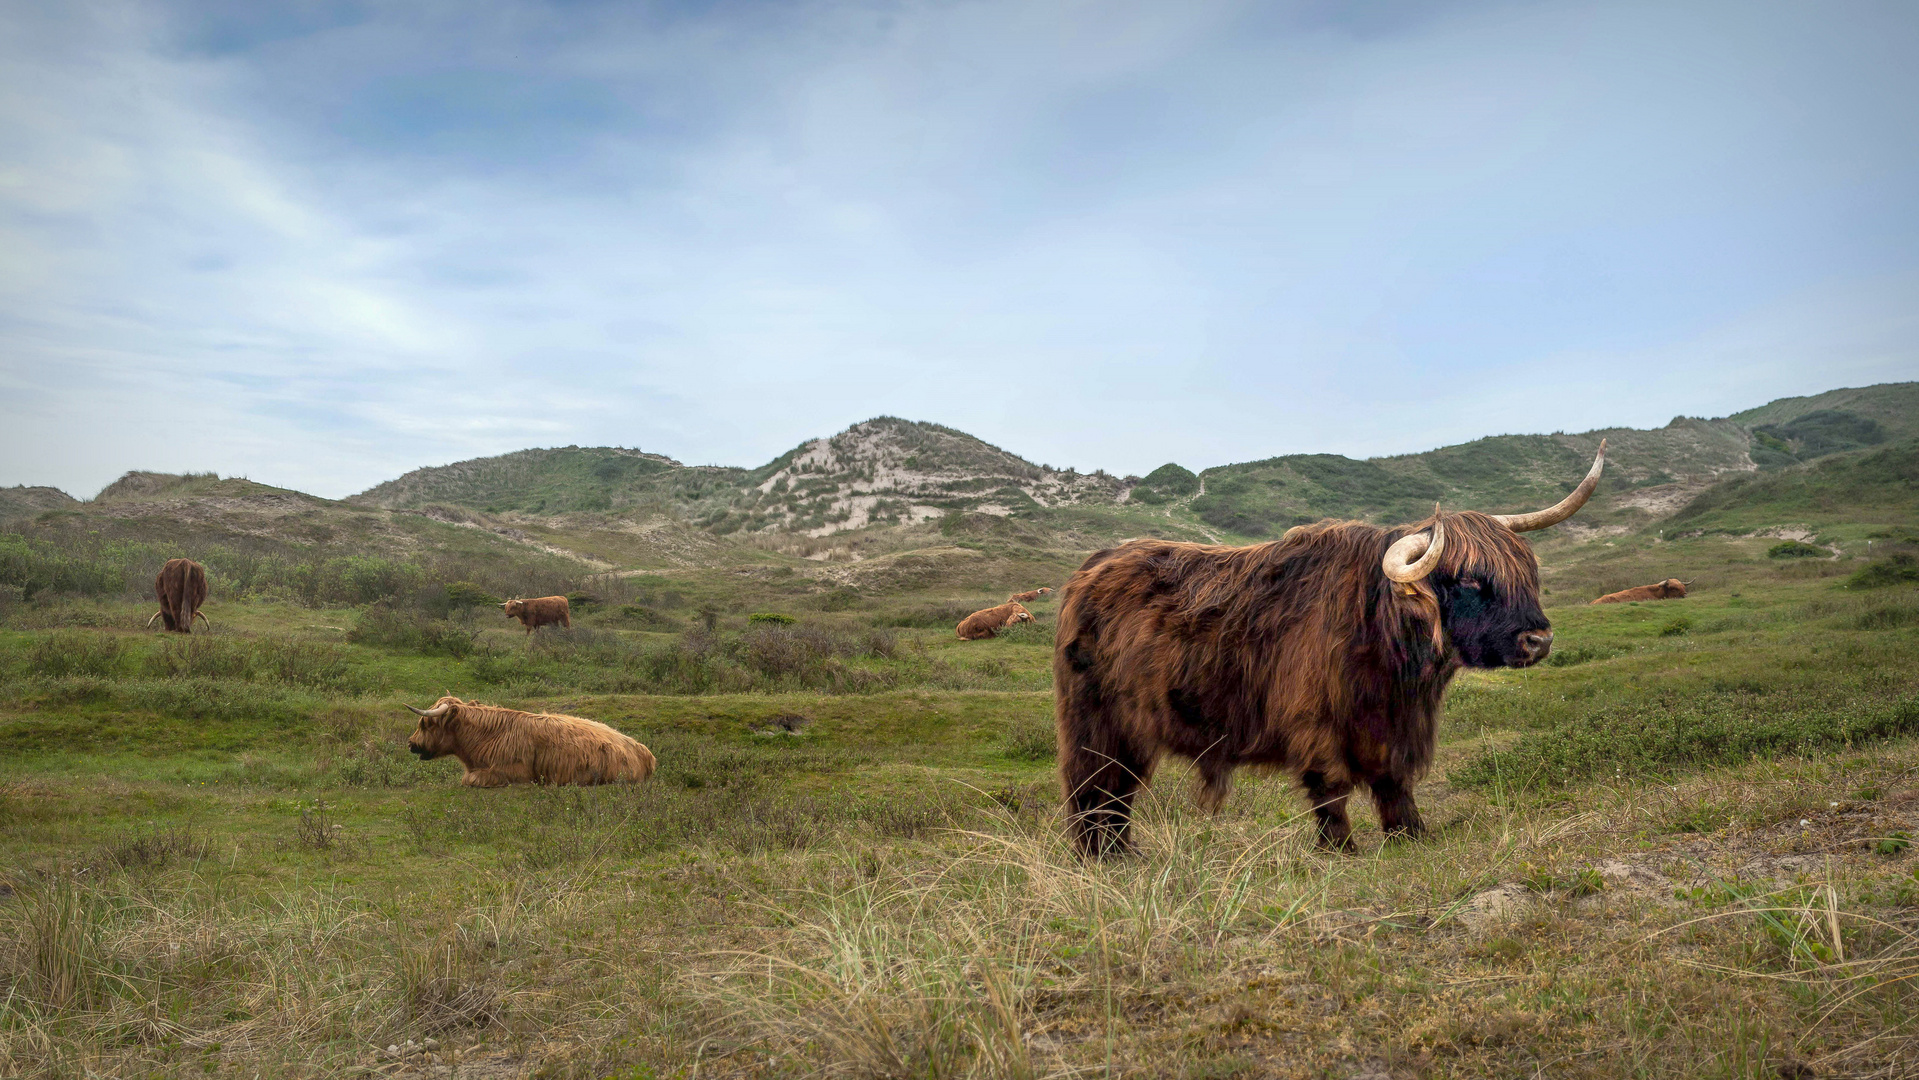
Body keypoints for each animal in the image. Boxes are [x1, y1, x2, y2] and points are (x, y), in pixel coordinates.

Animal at [1059, 443, 1611, 859]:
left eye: (1527, 574)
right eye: (1471, 579)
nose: (1539, 640)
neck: (1382, 639)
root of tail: (1090, 569)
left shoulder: (1394, 728)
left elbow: (1394, 782)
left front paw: (1411, 836)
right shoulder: (1315, 722)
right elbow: (1331, 787)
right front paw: (1340, 849)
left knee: (1117, 791)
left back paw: (1123, 853)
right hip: (1099, 723)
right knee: (1095, 787)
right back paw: (1102, 856)